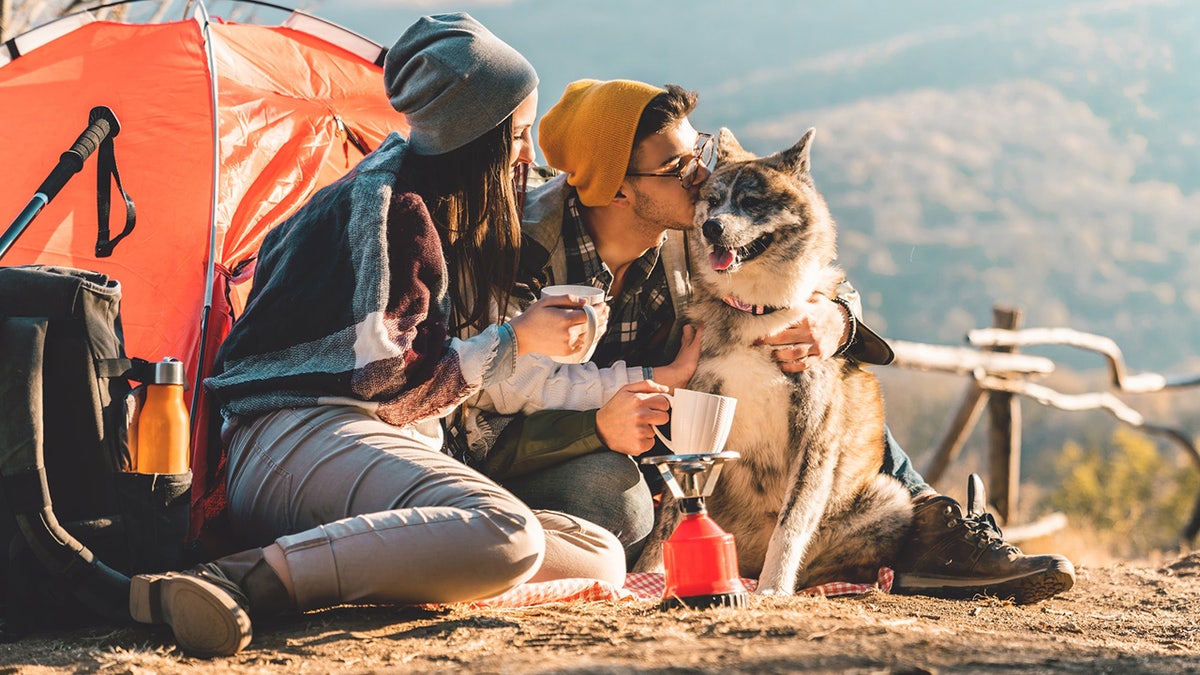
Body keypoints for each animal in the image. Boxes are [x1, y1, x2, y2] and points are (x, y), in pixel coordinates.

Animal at [638, 127, 907, 593]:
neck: (757, 310)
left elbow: (791, 523)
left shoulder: (813, 435)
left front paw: (773, 588)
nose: (711, 227)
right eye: (713, 199)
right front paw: (647, 575)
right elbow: (670, 517)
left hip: (890, 499)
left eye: (752, 202)